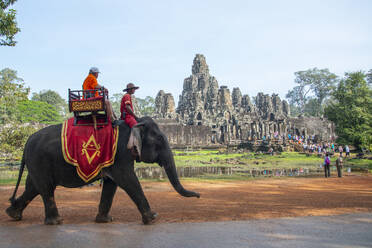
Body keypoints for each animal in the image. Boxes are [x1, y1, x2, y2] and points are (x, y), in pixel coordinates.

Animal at [5, 116, 201, 225]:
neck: (134, 121)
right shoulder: (121, 154)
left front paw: (105, 220)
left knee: (33, 187)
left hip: (36, 163)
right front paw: (152, 218)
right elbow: (128, 180)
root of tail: (26, 141)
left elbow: (111, 184)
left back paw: (13, 214)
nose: (199, 196)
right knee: (46, 189)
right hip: (39, 160)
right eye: (159, 139)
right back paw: (56, 222)